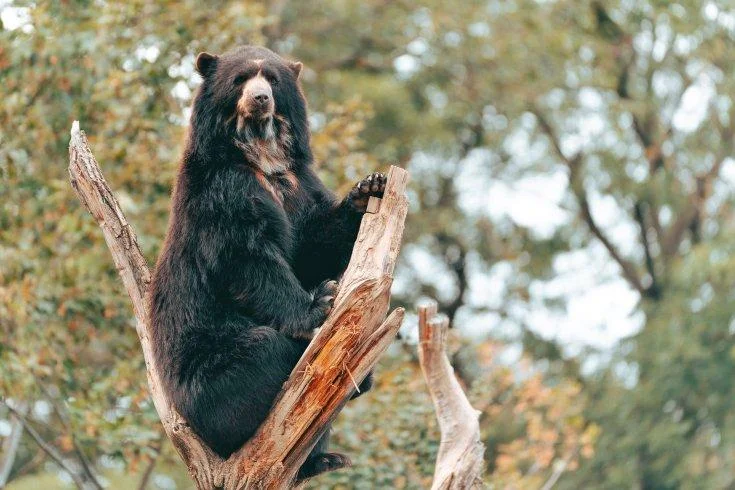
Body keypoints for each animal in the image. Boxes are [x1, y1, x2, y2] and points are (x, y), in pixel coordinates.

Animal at [151, 47, 392, 482]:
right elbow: (248, 255)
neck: (261, 155)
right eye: (241, 79)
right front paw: (320, 302)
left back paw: (325, 458)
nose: (261, 98)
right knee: (263, 351)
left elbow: (312, 242)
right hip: (209, 376)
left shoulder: (298, 183)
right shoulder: (222, 190)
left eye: (274, 80)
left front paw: (368, 188)